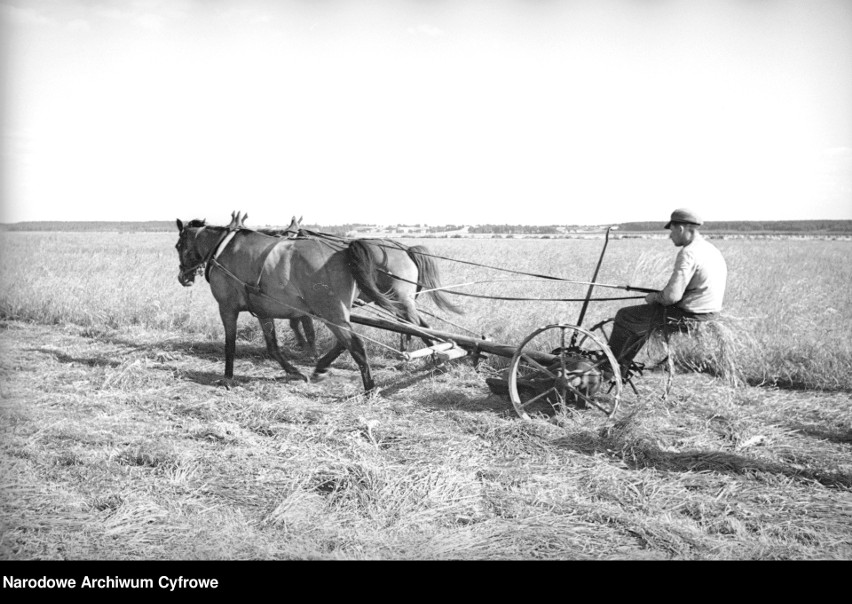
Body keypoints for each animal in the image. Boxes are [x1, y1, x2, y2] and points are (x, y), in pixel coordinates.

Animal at [176, 212, 400, 392]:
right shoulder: (263, 311)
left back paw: (369, 388)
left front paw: (227, 378)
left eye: (178, 246)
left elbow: (230, 343)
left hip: (332, 313)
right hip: (336, 315)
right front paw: (294, 371)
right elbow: (273, 346)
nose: (183, 278)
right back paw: (324, 368)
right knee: (345, 343)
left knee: (356, 345)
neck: (223, 248)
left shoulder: (227, 308)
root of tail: (344, 252)